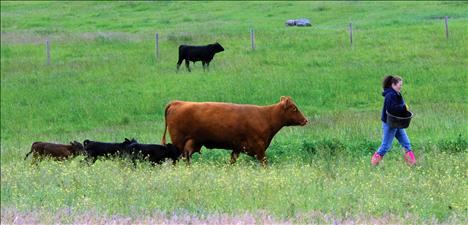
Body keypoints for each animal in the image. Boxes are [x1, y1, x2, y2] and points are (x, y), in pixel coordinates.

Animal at [161, 96, 308, 166]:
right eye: (294, 108)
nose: (305, 120)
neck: (266, 116)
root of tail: (177, 102)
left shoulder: (237, 148)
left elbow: (232, 162)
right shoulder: (259, 148)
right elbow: (265, 163)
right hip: (178, 143)